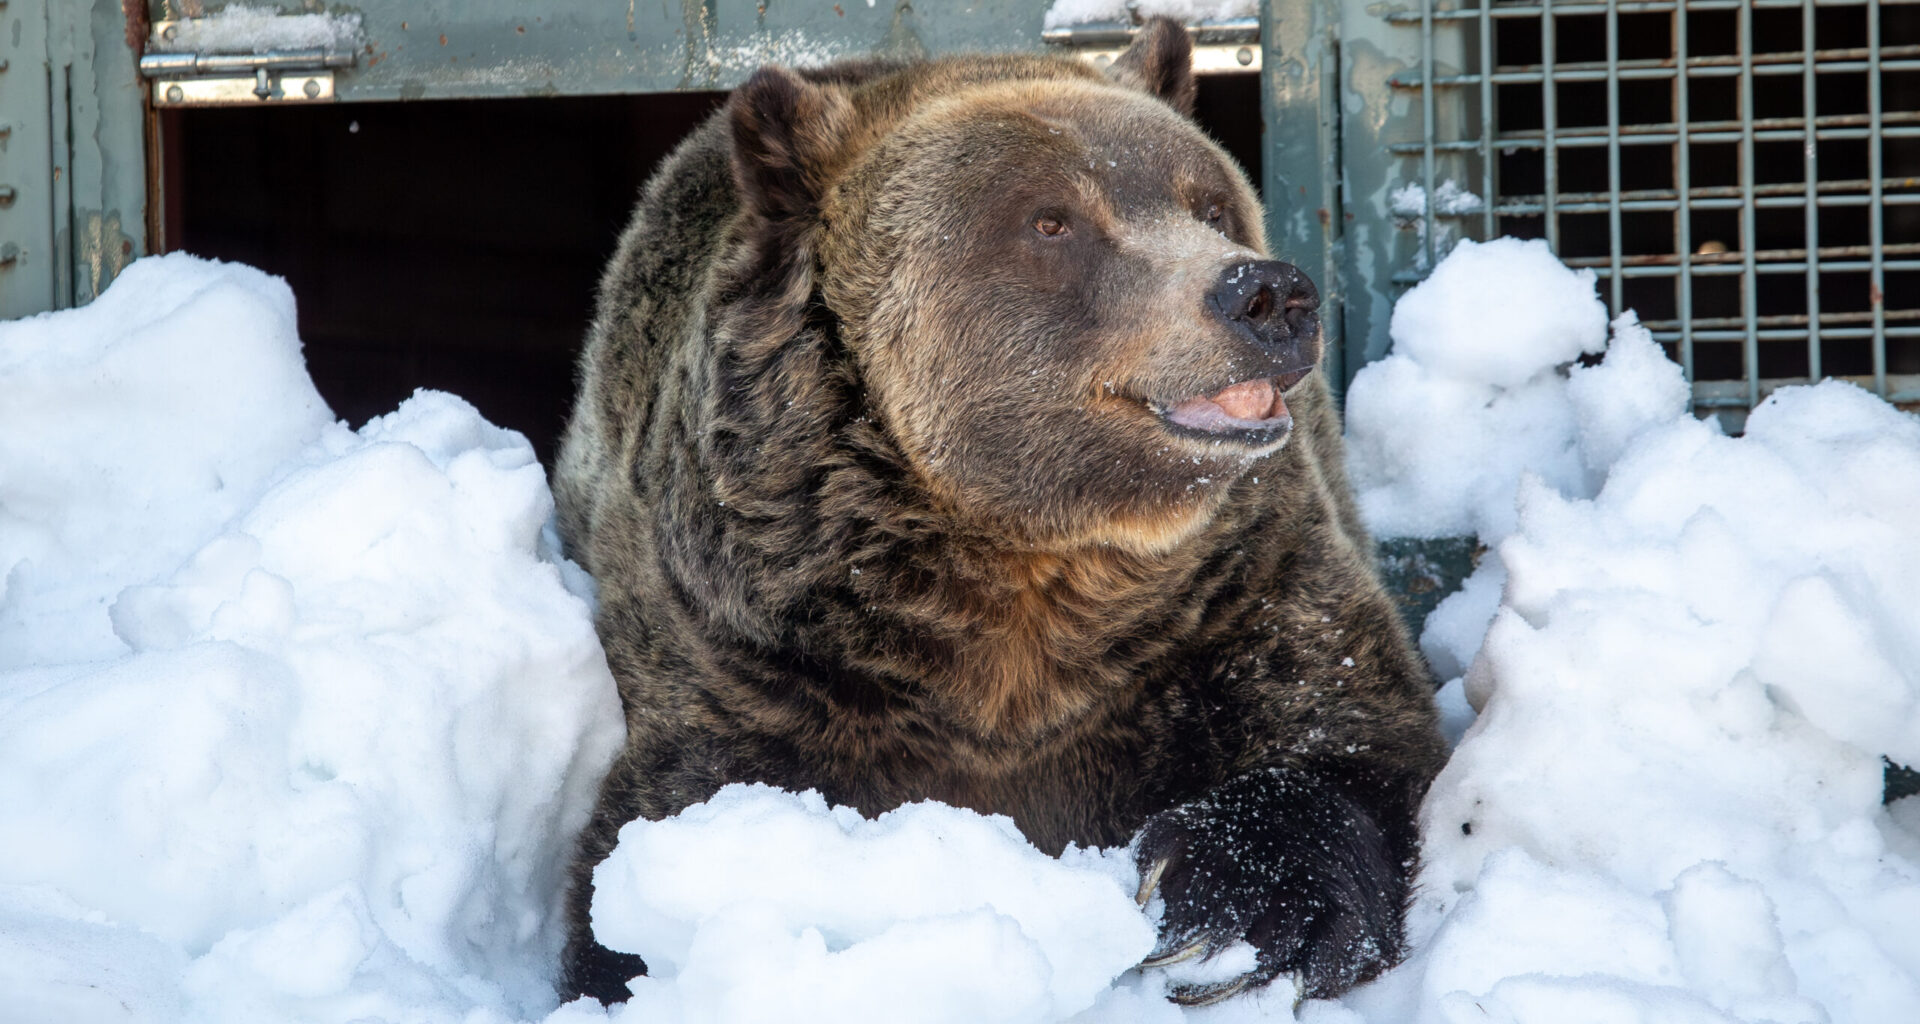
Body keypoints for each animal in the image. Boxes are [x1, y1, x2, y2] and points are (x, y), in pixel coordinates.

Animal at [552, 18, 1446, 1007]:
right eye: (1050, 220)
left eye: (1211, 205)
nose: (1265, 293)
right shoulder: (753, 646)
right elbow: (658, 829)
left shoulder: (1234, 592)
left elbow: (1345, 737)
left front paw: (1223, 913)